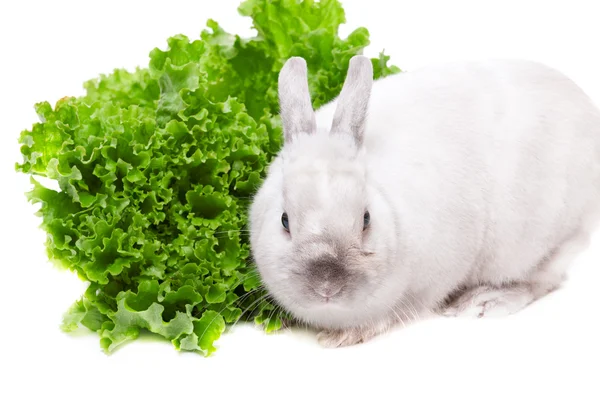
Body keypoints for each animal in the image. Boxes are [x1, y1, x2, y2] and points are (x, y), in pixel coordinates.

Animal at [247, 55, 600, 346]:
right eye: (284, 221)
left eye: (366, 219)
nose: (326, 287)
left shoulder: (436, 276)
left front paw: (345, 336)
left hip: (540, 241)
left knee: (544, 278)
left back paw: (484, 301)